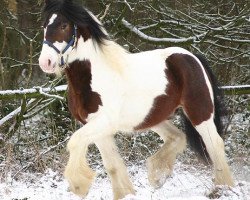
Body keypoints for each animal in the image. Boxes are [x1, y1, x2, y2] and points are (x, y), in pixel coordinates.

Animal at [38, 0, 233, 199]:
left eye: (64, 25)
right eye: (44, 25)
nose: (45, 62)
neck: (95, 75)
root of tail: (192, 56)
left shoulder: (103, 122)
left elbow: (75, 141)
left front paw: (79, 185)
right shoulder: (96, 128)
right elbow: (112, 166)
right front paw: (125, 193)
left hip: (199, 112)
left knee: (215, 144)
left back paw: (221, 188)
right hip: (152, 117)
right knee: (178, 137)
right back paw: (158, 176)